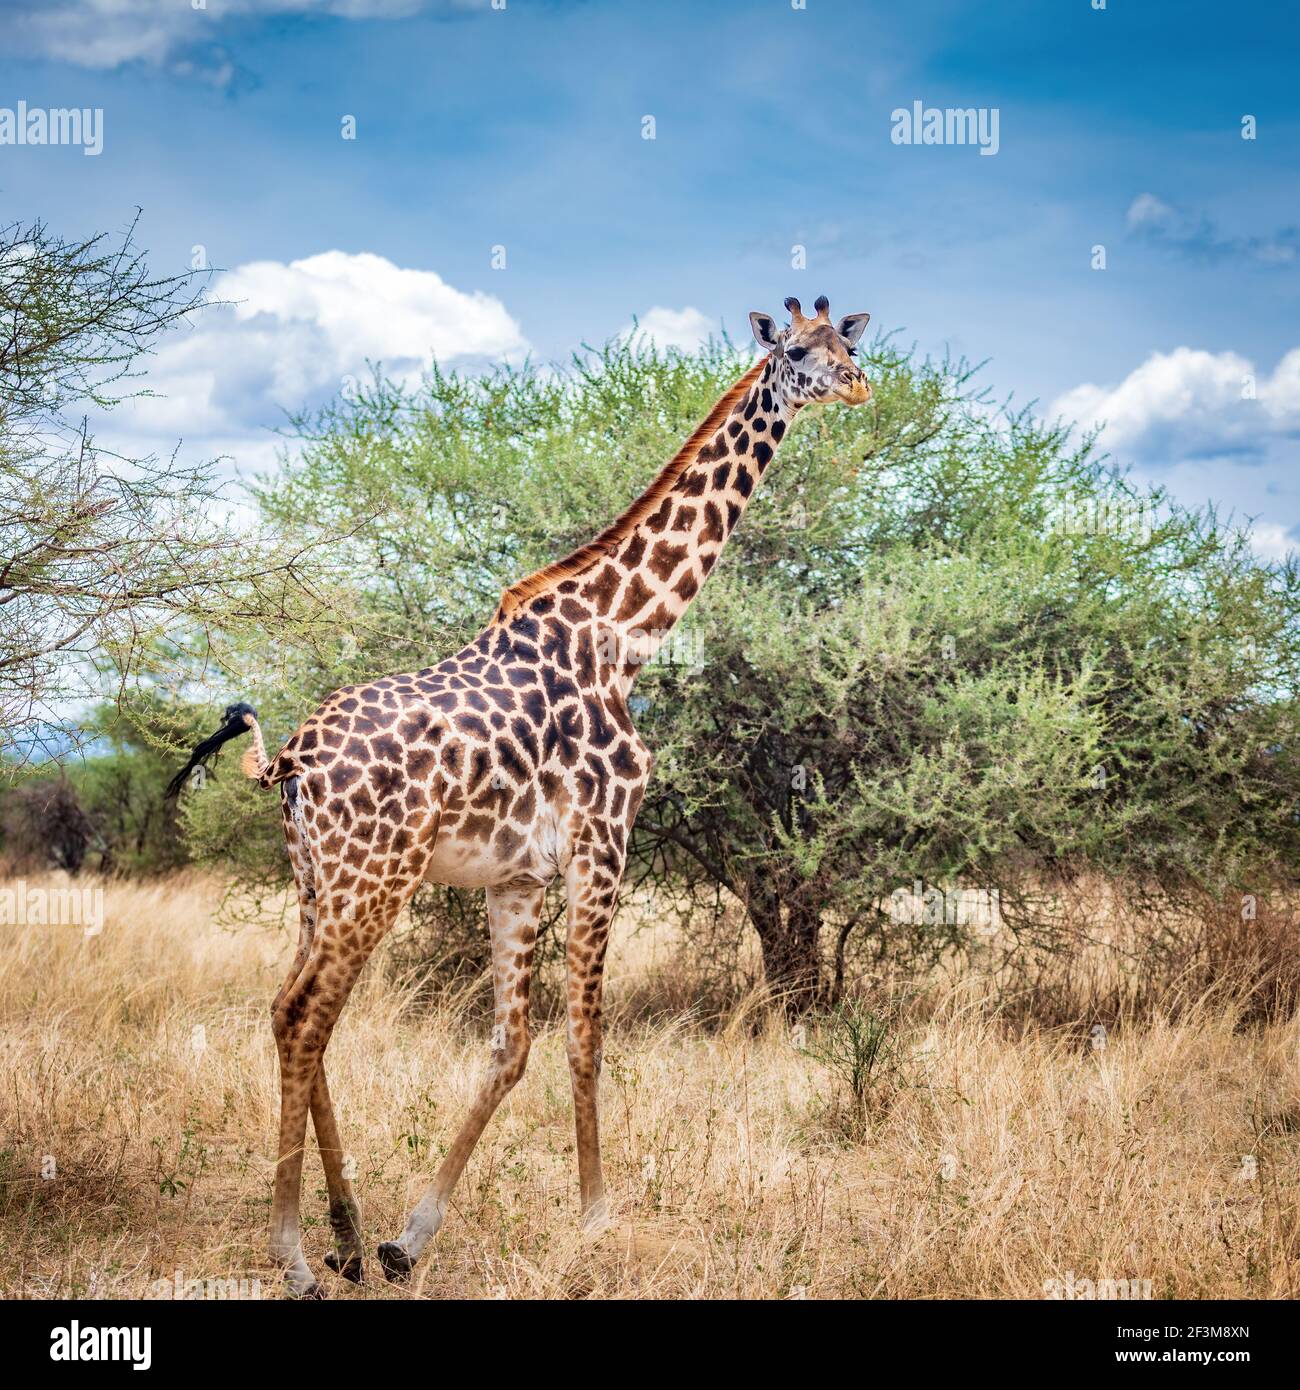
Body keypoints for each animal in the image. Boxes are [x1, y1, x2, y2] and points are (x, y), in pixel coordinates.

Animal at [170, 294, 871, 1297]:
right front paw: (596, 1219)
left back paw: (347, 1234)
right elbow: (584, 1034)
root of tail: (291, 761)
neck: (624, 635)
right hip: (374, 881)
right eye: (800, 352)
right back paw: (295, 1254)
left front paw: (409, 1239)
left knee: (288, 1013)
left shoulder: (518, 876)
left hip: (316, 883)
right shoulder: (604, 841)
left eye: (847, 343)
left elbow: (511, 1046)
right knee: (305, 1017)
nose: (858, 385)